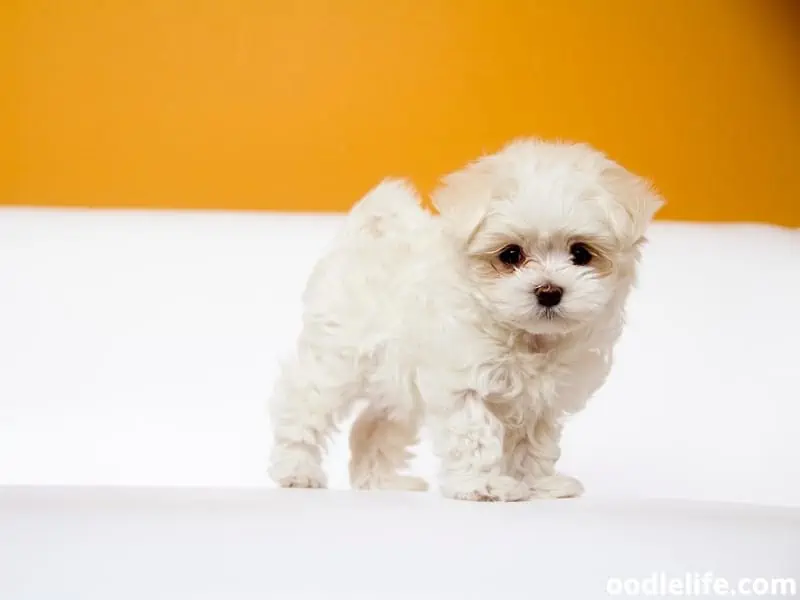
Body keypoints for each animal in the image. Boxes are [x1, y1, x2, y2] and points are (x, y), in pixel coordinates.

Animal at [268, 138, 664, 500]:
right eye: (510, 255)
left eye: (581, 253)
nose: (549, 291)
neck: (525, 337)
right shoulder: (462, 383)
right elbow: (475, 435)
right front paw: (483, 486)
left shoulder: (541, 402)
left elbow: (534, 445)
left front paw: (538, 485)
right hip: (336, 361)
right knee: (301, 407)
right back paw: (297, 472)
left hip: (395, 382)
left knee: (373, 425)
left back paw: (383, 483)